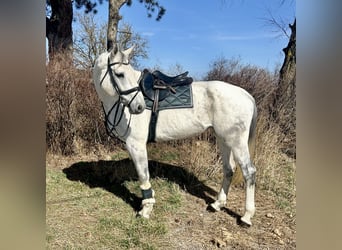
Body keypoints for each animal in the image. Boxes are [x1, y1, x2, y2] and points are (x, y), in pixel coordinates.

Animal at [92, 45, 258, 227]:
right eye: (120, 74)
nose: (139, 107)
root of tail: (246, 95)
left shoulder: (136, 145)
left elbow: (143, 176)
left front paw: (146, 210)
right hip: (224, 139)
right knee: (229, 169)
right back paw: (217, 204)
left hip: (236, 142)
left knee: (249, 172)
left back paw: (246, 217)